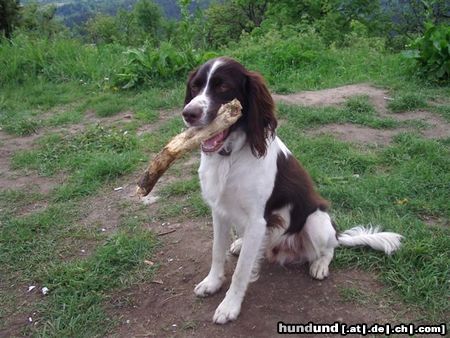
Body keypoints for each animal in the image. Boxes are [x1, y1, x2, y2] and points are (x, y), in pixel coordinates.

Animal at [181, 57, 402, 324]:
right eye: (195, 86)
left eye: (223, 87)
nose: (188, 114)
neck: (230, 157)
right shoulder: (220, 211)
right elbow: (216, 252)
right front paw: (212, 283)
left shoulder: (258, 220)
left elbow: (241, 271)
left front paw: (229, 306)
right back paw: (241, 244)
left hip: (316, 222)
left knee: (330, 248)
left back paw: (320, 265)